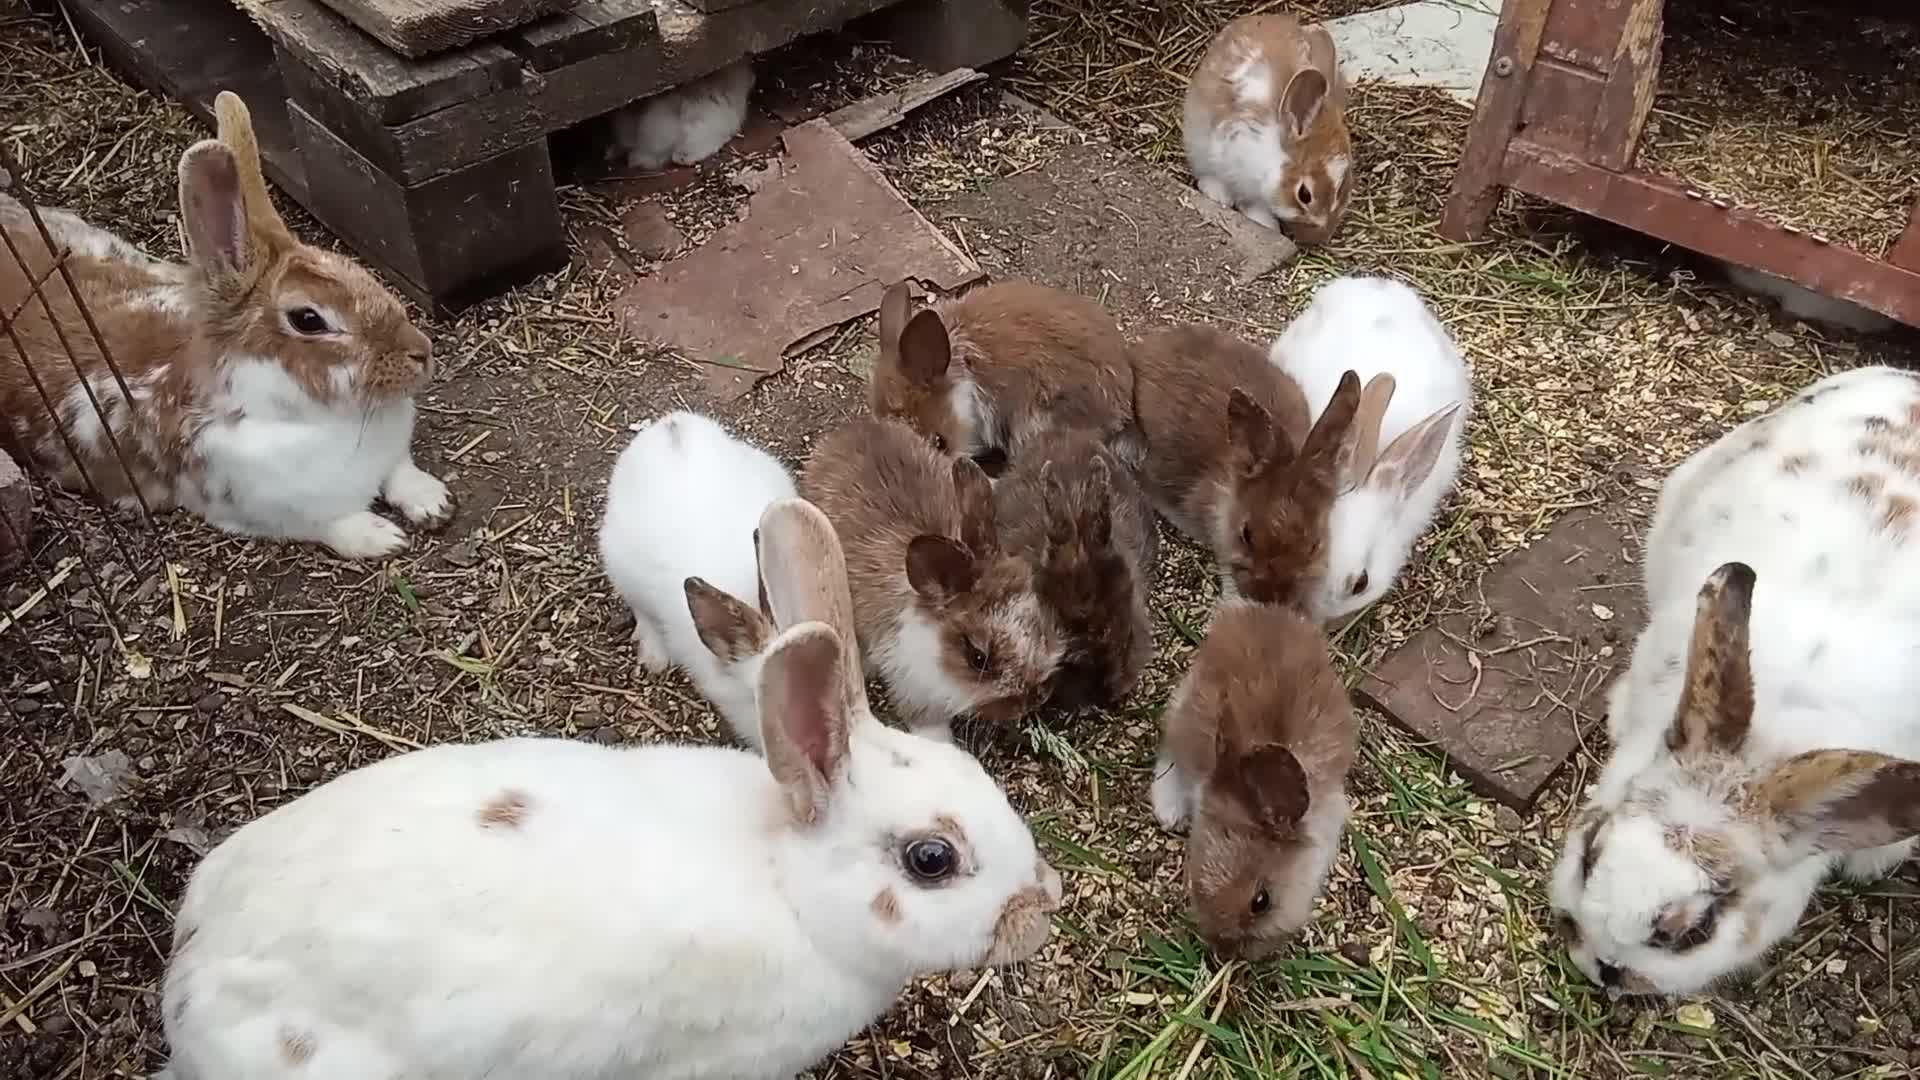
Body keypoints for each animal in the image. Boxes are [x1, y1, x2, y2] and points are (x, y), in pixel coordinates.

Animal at [0, 90, 448, 561]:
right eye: (308, 319)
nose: (421, 352)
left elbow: (401, 470)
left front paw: (432, 502)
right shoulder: (263, 512)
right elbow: (331, 524)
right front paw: (382, 537)